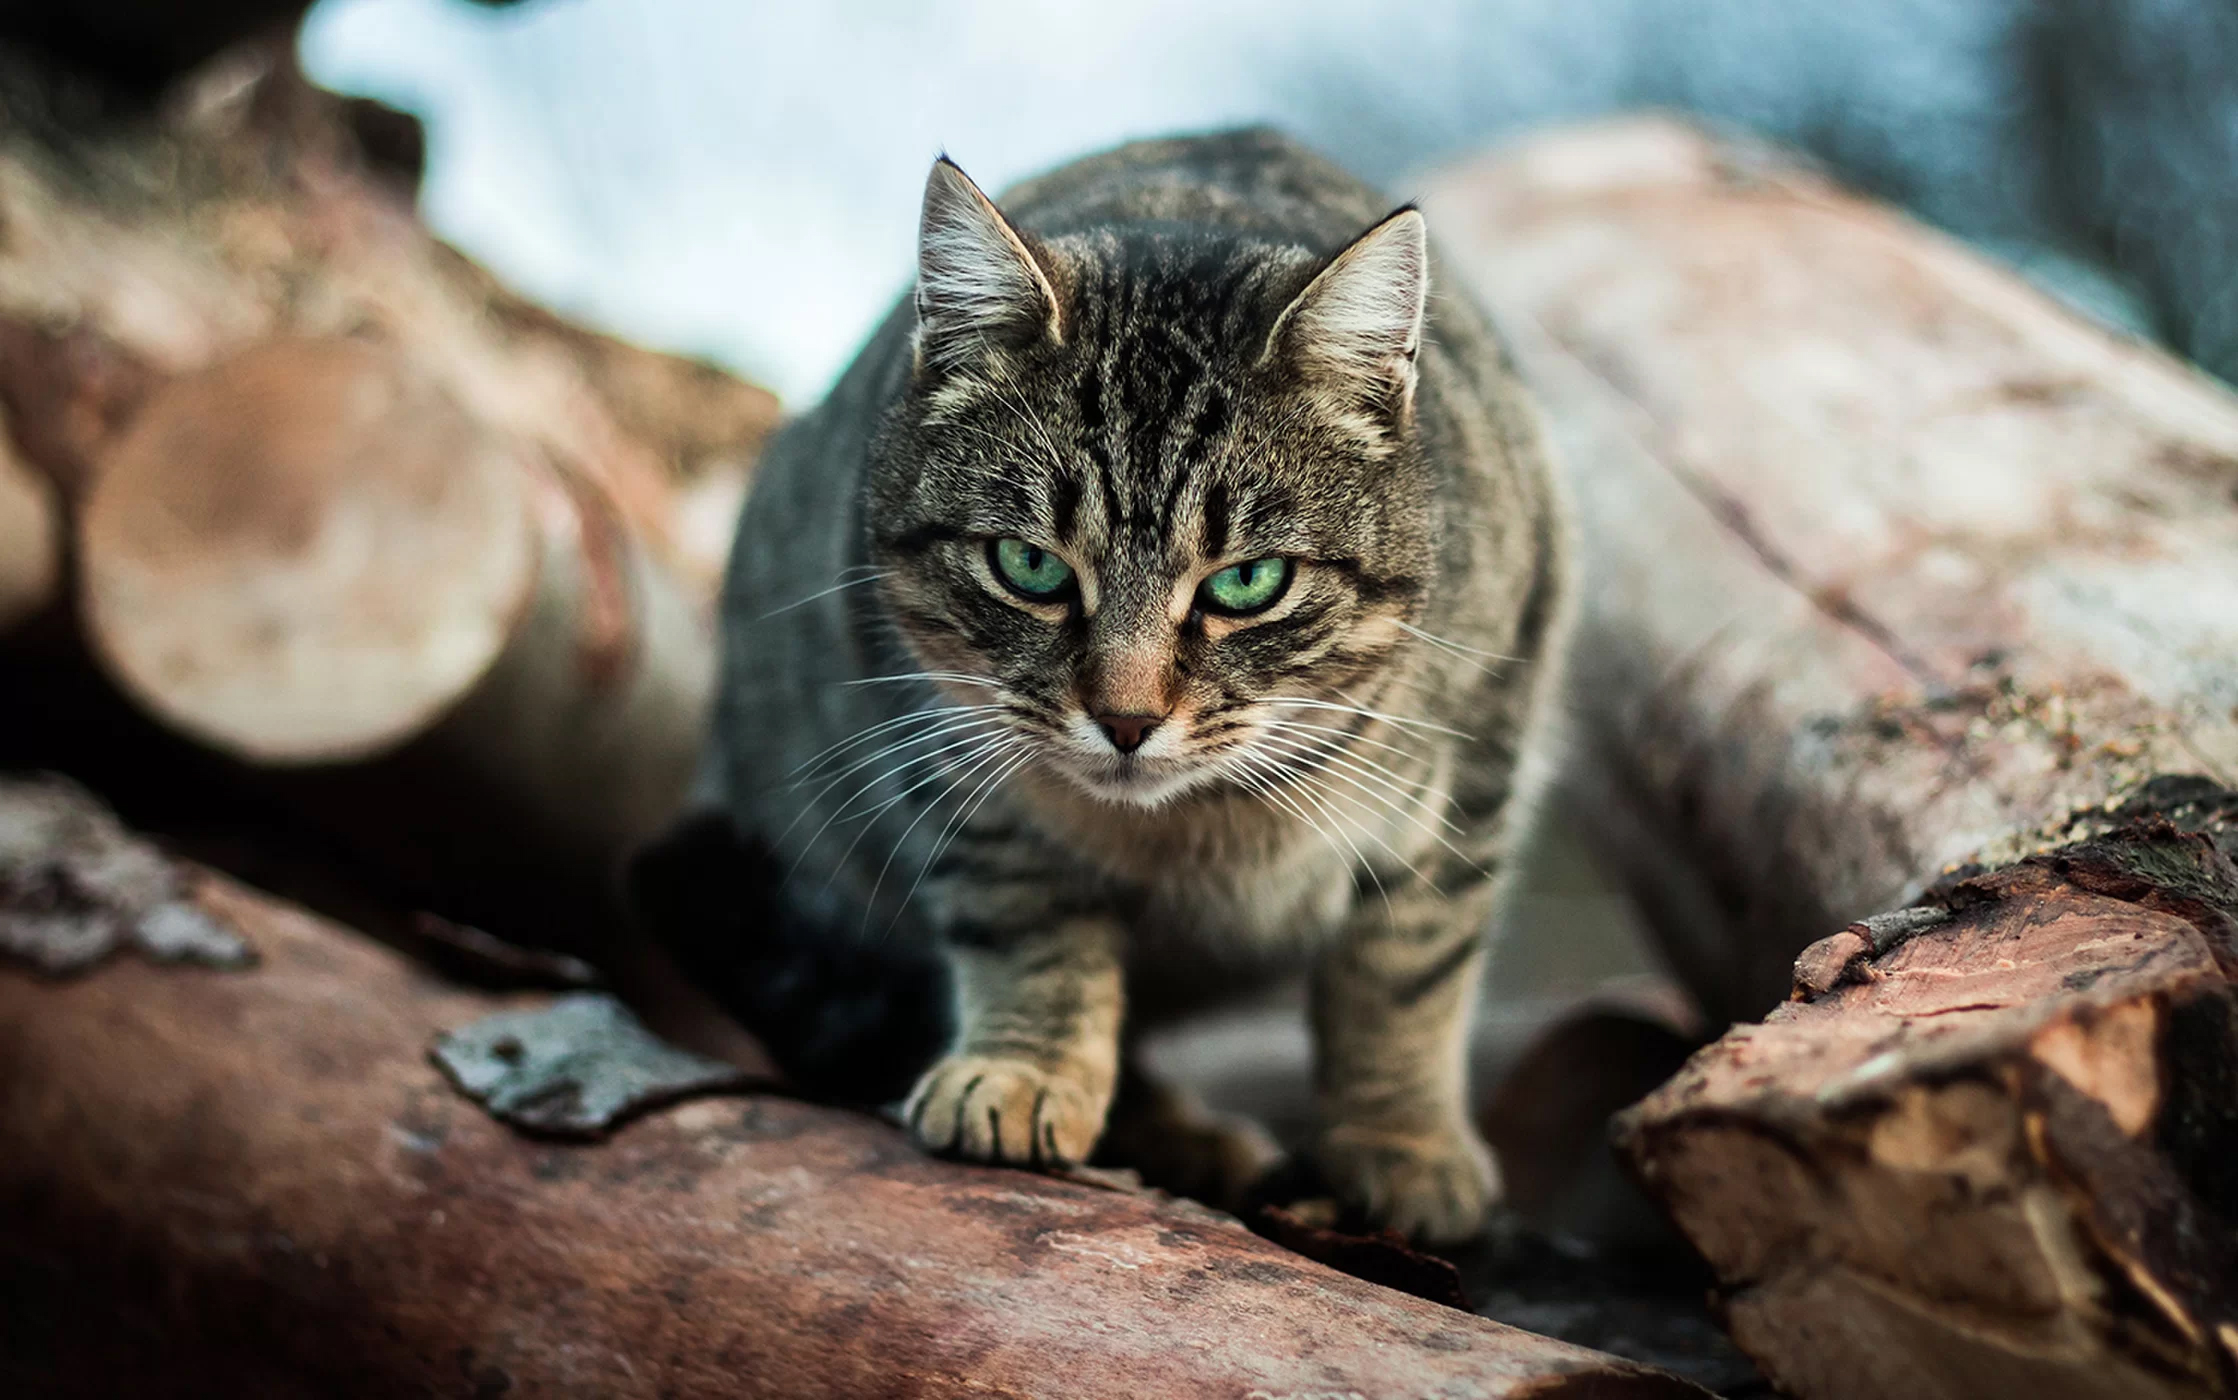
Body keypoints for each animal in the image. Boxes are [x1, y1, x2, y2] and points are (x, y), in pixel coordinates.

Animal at [707, 128, 1566, 1243]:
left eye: (1248, 580)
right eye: (1029, 565)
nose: (1125, 718)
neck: (1199, 831)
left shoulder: (1482, 752)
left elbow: (1407, 967)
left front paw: (1401, 1139)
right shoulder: (943, 746)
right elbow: (1028, 921)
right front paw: (1025, 1070)